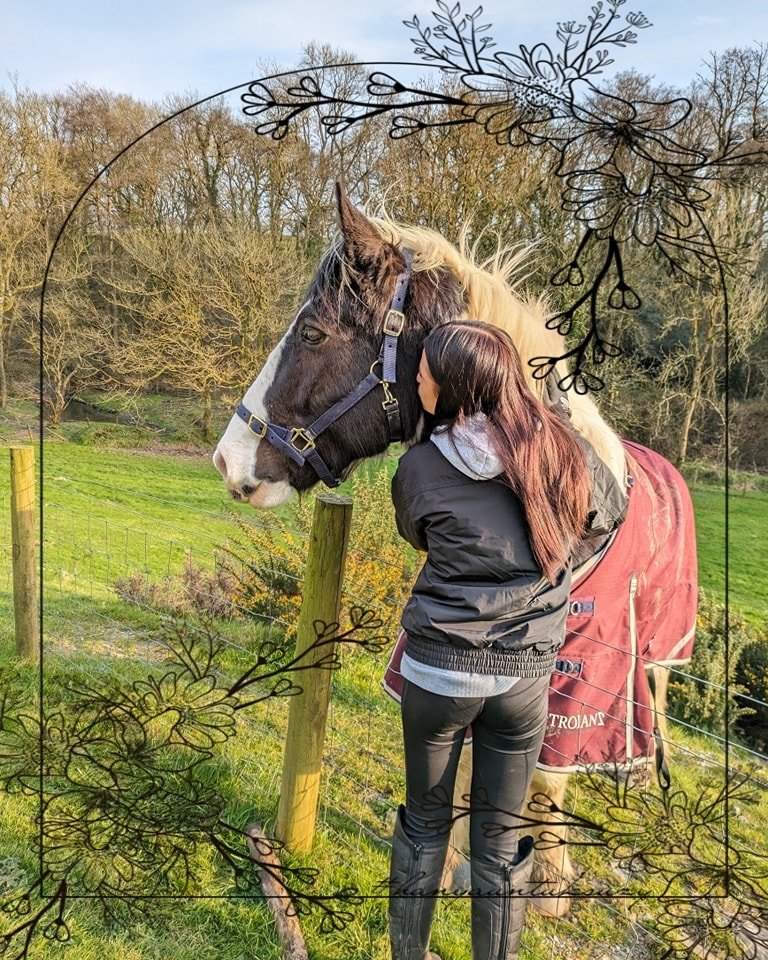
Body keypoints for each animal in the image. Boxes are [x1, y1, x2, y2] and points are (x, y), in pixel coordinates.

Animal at [213, 183, 698, 915]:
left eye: (313, 333)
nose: (227, 459)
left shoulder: (576, 679)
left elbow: (548, 776)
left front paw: (547, 881)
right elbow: (470, 758)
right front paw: (455, 863)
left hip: (662, 646)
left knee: (655, 697)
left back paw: (640, 777)